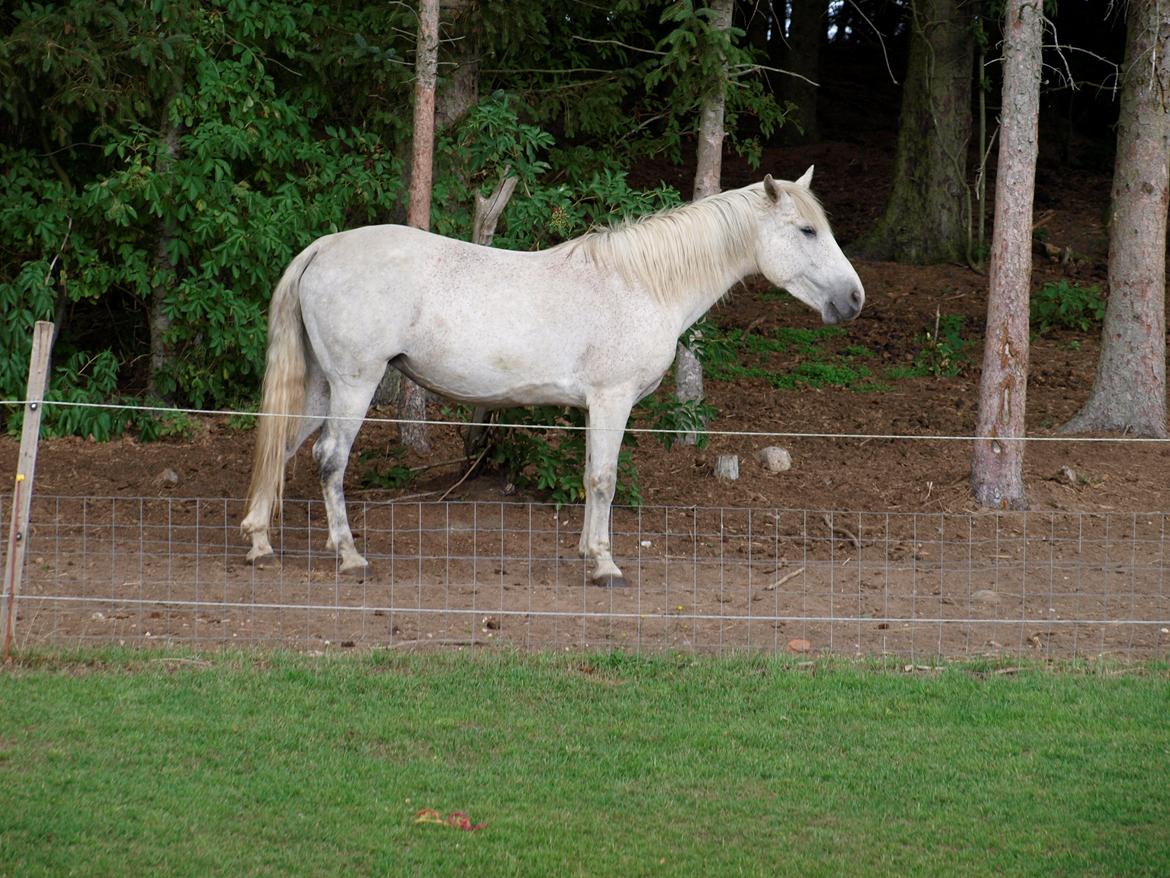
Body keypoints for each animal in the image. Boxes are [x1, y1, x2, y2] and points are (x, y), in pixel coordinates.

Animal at [239, 168, 861, 587]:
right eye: (807, 231)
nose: (853, 299)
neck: (642, 283)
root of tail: (324, 247)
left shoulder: (594, 409)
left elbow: (590, 477)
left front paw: (589, 552)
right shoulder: (611, 402)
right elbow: (604, 480)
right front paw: (606, 565)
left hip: (321, 387)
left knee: (281, 448)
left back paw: (260, 543)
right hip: (354, 385)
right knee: (328, 460)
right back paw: (348, 555)